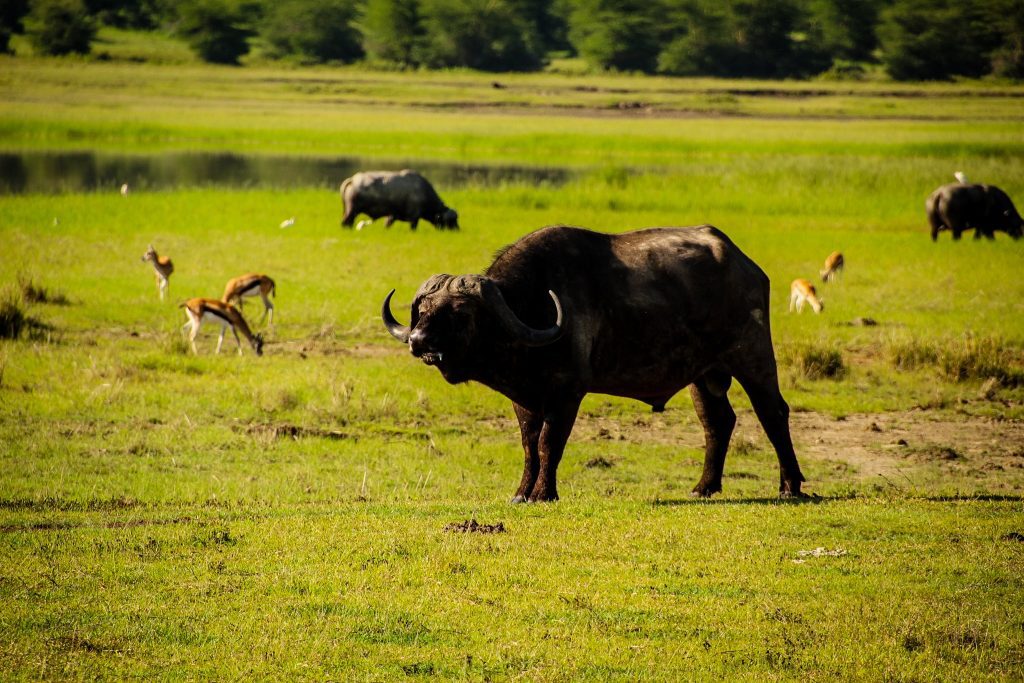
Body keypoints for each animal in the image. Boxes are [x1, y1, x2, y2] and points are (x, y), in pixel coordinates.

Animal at [380, 224, 802, 501]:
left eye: (460, 314)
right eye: (424, 311)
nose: (418, 342)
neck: (532, 309)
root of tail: (746, 265)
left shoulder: (568, 393)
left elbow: (550, 443)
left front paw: (543, 493)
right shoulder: (523, 399)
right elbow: (529, 445)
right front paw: (521, 492)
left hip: (752, 356)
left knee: (773, 412)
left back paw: (790, 485)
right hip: (704, 375)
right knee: (718, 422)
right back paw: (704, 487)